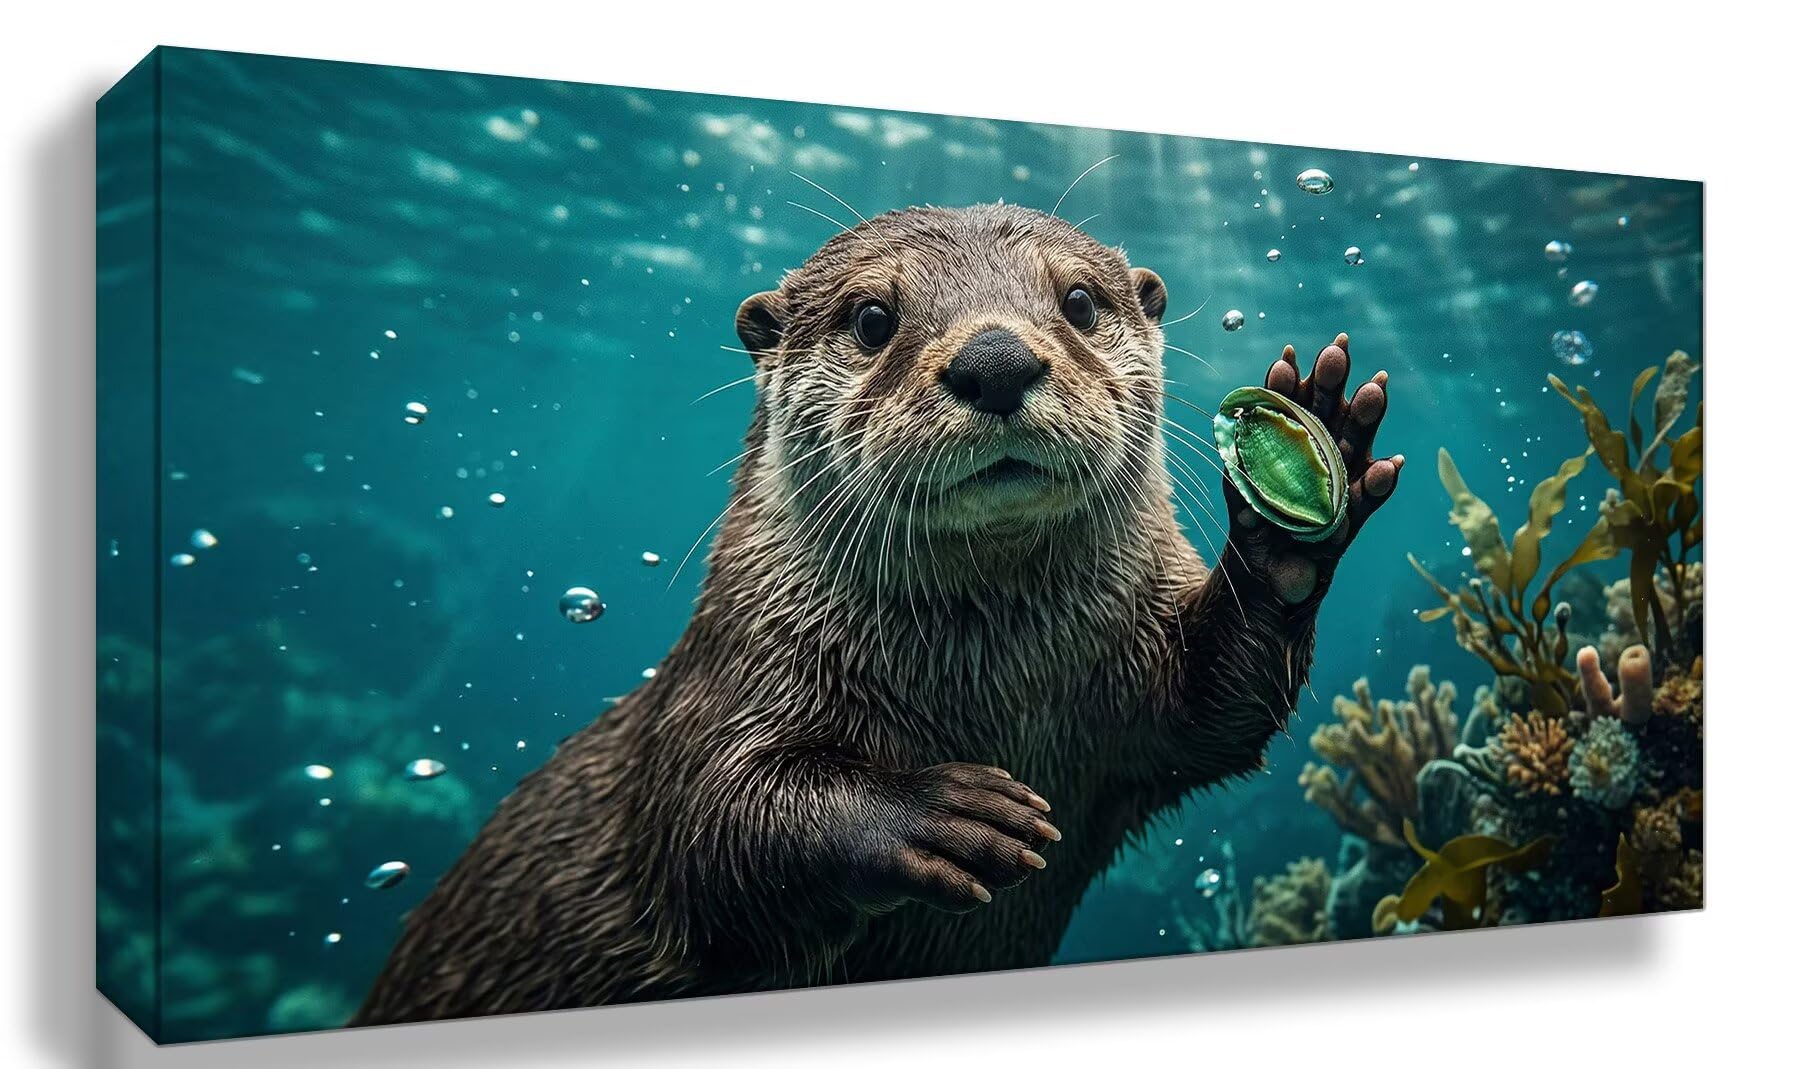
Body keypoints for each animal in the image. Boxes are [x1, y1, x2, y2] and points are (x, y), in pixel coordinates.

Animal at [353, 203, 1402, 1025]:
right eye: (871, 316)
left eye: (1076, 303)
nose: (994, 359)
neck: (994, 681)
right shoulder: (725, 685)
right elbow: (709, 826)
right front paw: (938, 813)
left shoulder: (1140, 687)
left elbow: (1220, 712)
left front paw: (1296, 496)